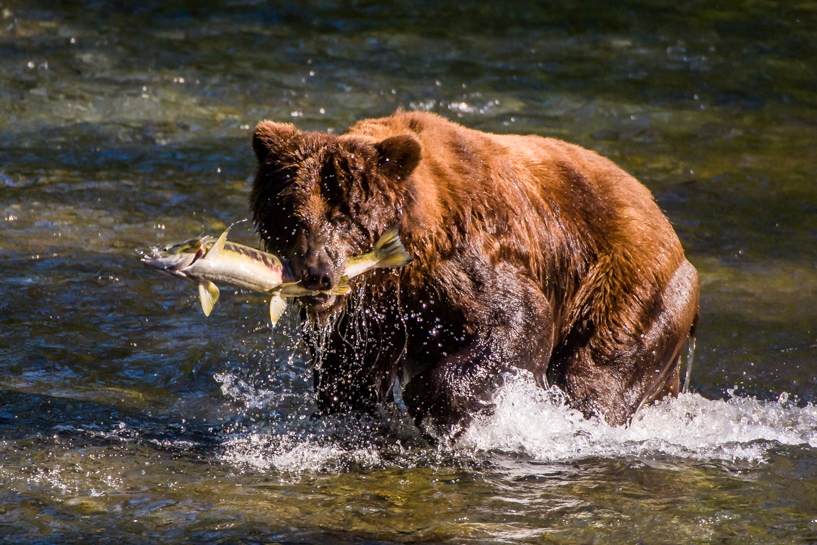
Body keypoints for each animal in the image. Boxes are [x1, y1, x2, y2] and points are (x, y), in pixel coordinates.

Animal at [249, 110, 700, 432]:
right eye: (291, 216)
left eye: (344, 217)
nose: (318, 273)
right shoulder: (367, 314)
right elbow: (347, 374)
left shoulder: (465, 257)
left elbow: (518, 319)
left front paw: (431, 403)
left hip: (626, 282)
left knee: (594, 374)